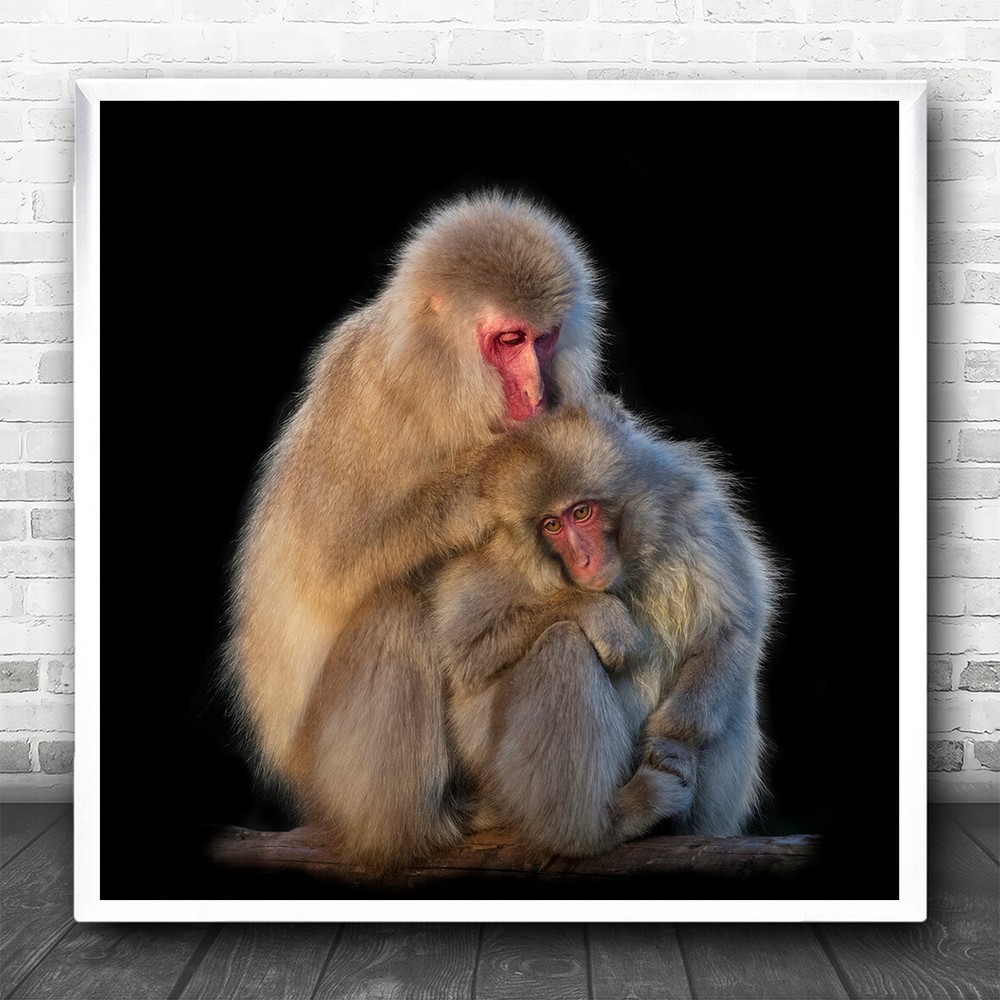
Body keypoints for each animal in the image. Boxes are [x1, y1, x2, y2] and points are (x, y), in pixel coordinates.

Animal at [228, 193, 605, 867]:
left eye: (545, 339)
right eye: (510, 340)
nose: (535, 391)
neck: (440, 390)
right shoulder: (361, 397)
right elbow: (327, 565)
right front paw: (481, 483)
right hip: (329, 779)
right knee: (393, 612)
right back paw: (408, 833)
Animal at [432, 398, 775, 856]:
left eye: (582, 512)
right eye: (552, 525)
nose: (584, 560)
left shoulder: (695, 507)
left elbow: (731, 629)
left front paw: (672, 743)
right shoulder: (491, 551)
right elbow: (467, 653)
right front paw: (598, 613)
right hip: (500, 783)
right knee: (564, 646)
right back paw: (598, 827)